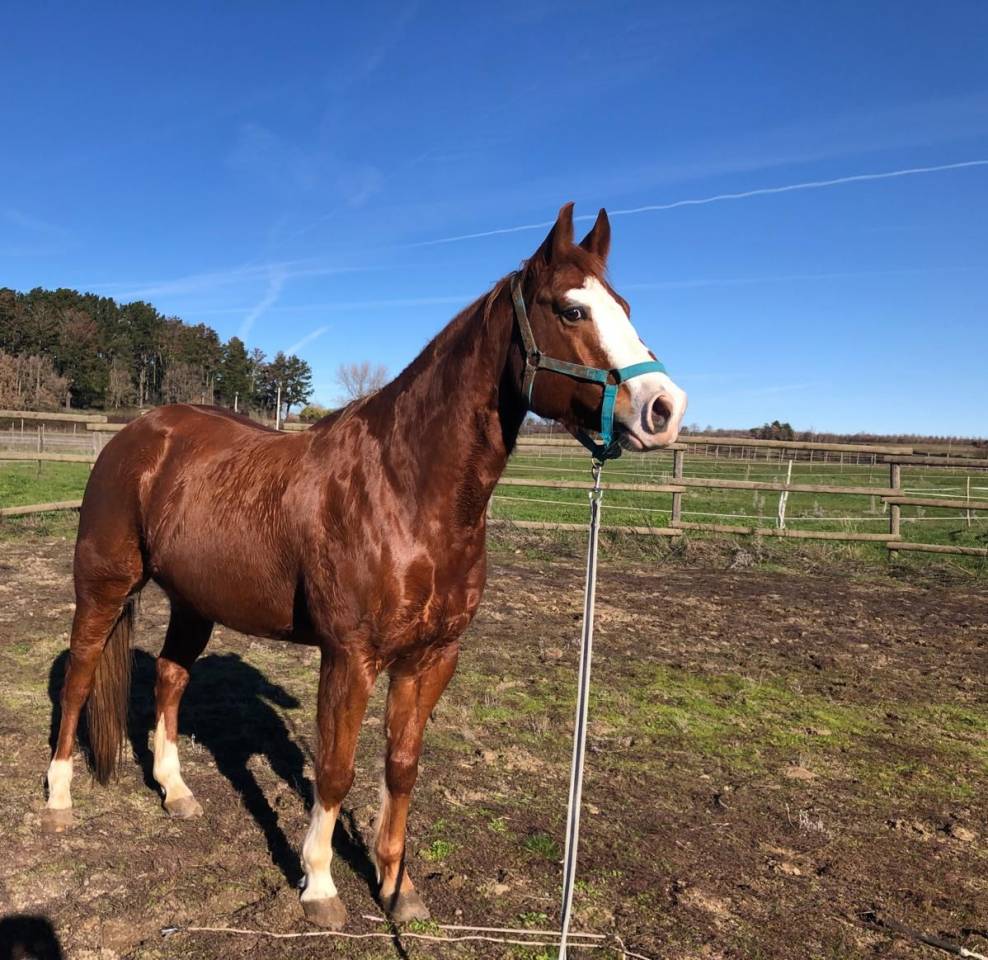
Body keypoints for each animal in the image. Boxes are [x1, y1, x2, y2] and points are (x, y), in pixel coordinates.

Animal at [42, 202, 687, 929]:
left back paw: (176, 792)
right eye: (572, 310)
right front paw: (320, 886)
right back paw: (59, 800)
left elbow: (401, 765)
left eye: (625, 306)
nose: (665, 408)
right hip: (103, 585)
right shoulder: (349, 656)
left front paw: (395, 885)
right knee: (79, 678)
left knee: (172, 680)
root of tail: (136, 433)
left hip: (194, 601)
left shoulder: (432, 657)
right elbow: (336, 769)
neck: (407, 493)